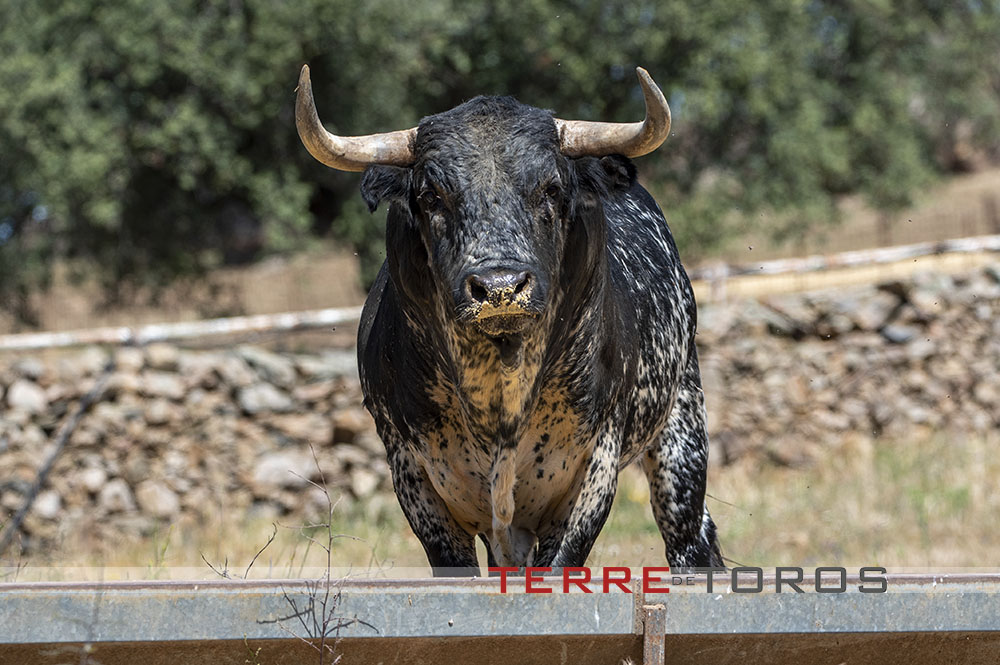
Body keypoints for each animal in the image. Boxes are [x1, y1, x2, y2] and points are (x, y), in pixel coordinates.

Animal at [296, 64, 723, 575]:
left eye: (552, 188)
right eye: (431, 195)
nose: (499, 287)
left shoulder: (593, 469)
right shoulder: (413, 474)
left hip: (681, 428)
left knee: (690, 539)